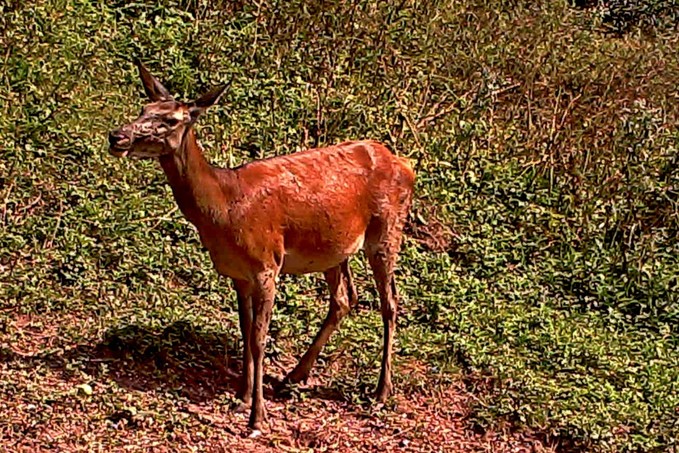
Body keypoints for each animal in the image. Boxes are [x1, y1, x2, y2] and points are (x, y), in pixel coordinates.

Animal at [107, 61, 414, 434]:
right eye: (143, 108)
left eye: (172, 120)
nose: (117, 136)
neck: (224, 207)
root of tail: (405, 164)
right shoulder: (237, 273)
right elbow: (244, 328)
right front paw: (241, 395)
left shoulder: (267, 264)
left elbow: (259, 337)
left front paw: (257, 416)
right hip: (334, 248)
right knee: (344, 299)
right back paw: (293, 376)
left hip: (388, 229)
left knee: (390, 302)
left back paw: (381, 391)